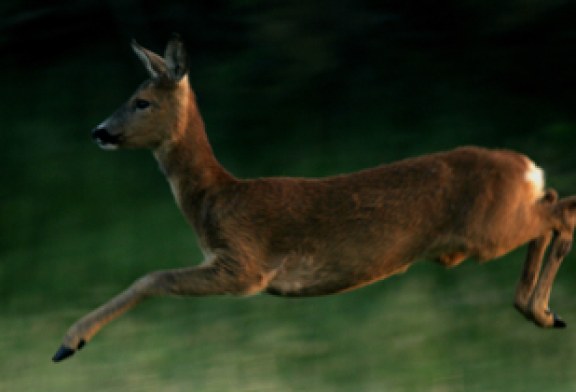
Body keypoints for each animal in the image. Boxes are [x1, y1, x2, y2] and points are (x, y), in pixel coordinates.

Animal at [51, 35, 576, 362]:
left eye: (142, 102)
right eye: (131, 95)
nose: (99, 131)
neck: (215, 199)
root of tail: (527, 167)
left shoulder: (245, 265)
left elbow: (153, 277)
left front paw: (69, 343)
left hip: (490, 230)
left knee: (562, 209)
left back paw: (540, 309)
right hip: (498, 223)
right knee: (554, 202)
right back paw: (541, 311)